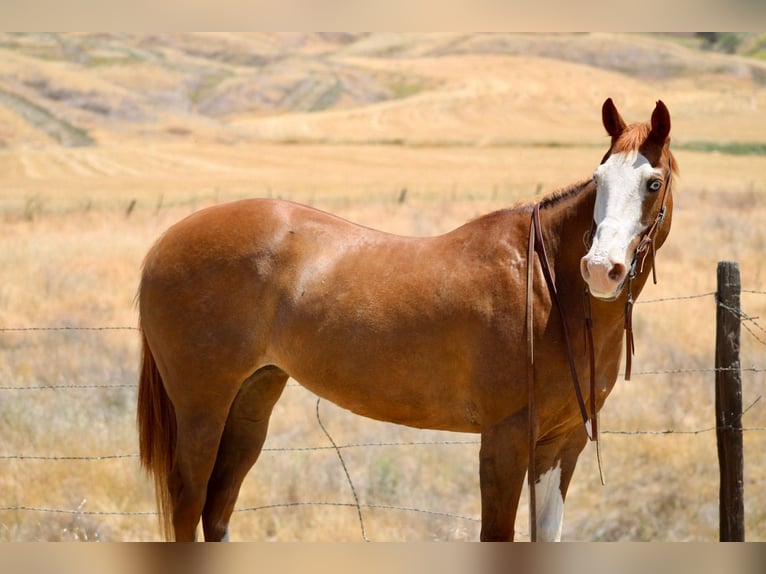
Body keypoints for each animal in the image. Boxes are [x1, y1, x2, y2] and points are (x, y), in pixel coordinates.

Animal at [137, 98, 677, 541]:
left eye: (653, 183)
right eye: (600, 179)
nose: (601, 269)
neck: (548, 289)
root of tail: (166, 240)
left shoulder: (562, 445)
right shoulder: (504, 439)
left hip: (252, 397)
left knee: (218, 507)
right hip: (202, 407)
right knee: (188, 500)